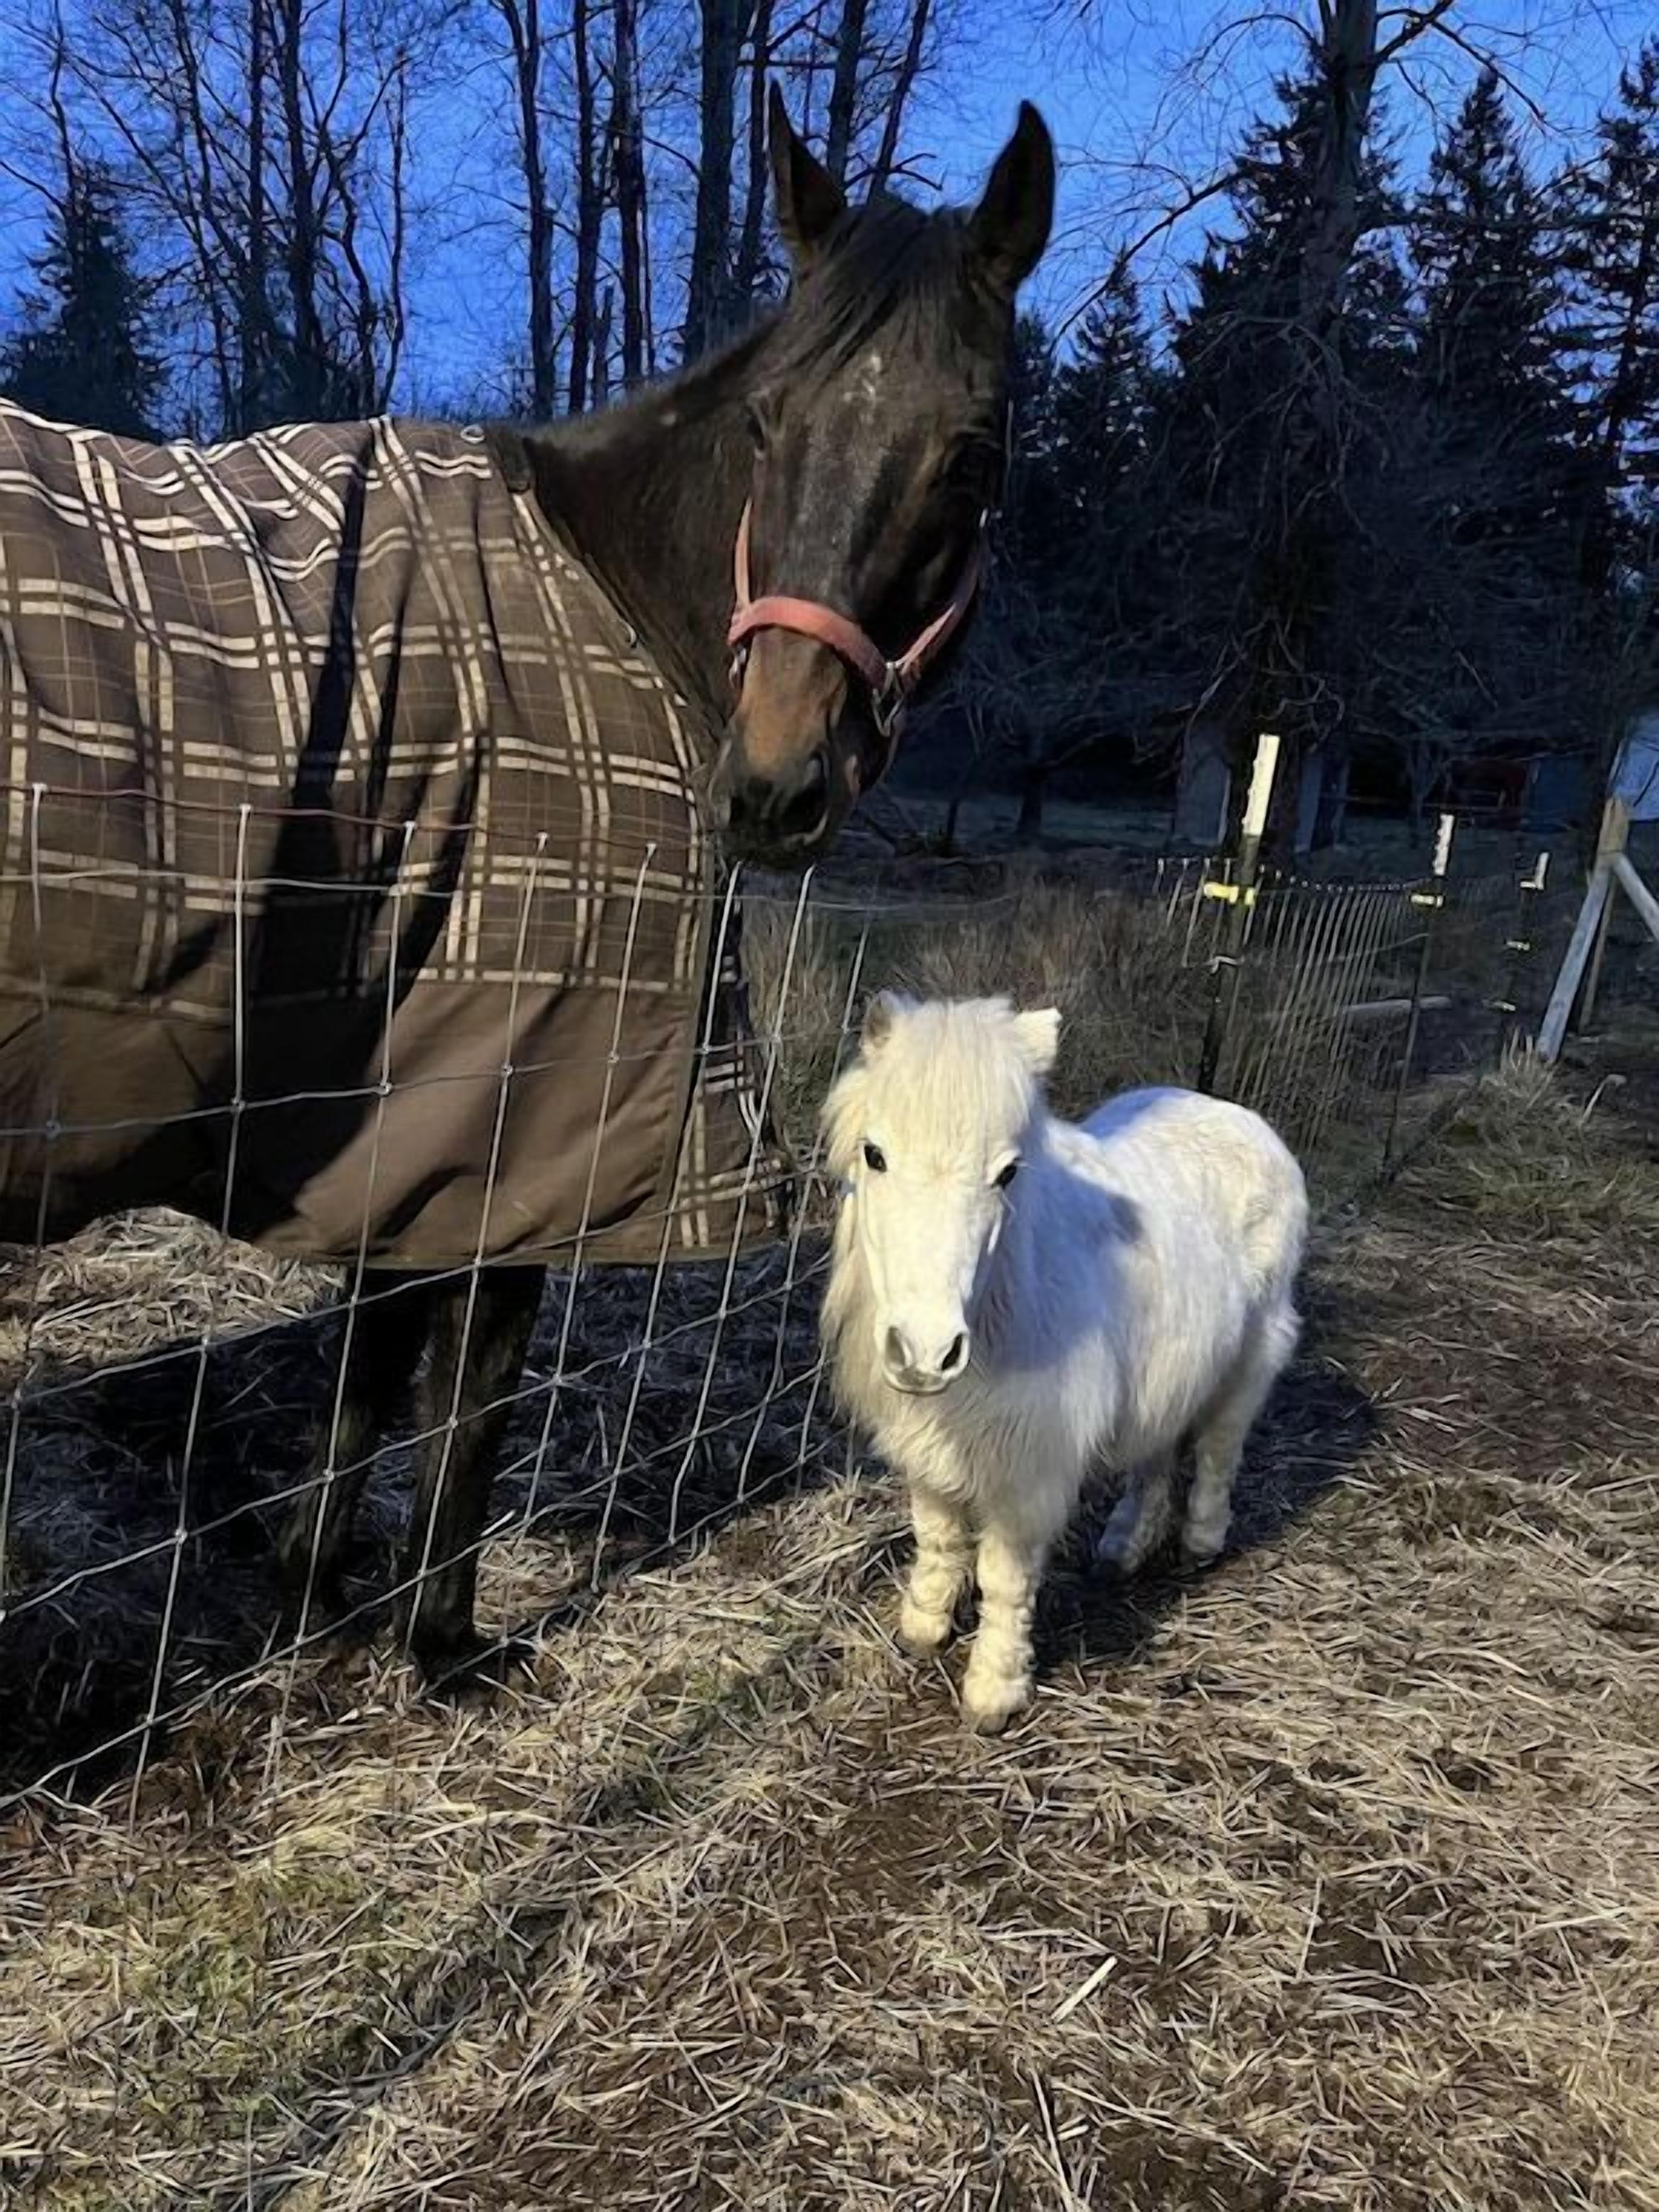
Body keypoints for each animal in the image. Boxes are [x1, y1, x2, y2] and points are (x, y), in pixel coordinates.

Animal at [0, 92, 1055, 1685]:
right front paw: (439, 1643)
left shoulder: (404, 1122)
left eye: (972, 452)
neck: (599, 607)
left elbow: (374, 1368)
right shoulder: (519, 1124)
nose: (773, 785)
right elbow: (470, 1395)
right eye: (768, 423)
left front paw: (313, 1603)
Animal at [820, 992, 1307, 1733]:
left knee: (1219, 1449)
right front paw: (923, 1627)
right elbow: (936, 1536)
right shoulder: (926, 1445)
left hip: (1254, 1353)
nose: (928, 1352)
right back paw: (1124, 1548)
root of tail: (1238, 1116)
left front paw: (993, 1692)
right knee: (1155, 1456)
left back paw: (1199, 1544)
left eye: (1007, 1173)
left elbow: (1005, 1578)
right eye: (874, 1155)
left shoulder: (1030, 1468)